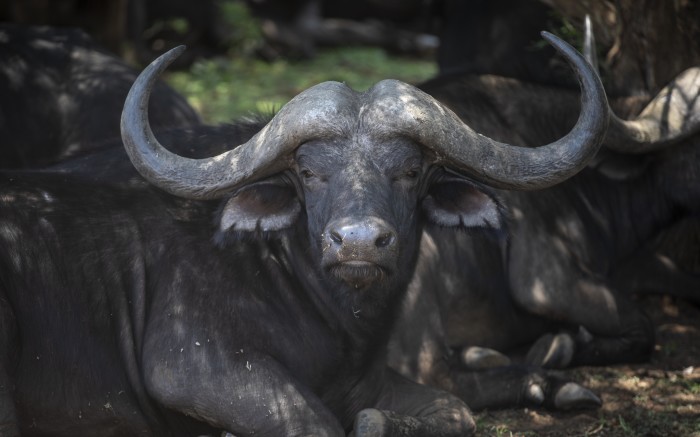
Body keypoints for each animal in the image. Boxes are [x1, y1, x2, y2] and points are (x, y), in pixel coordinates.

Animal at [388, 51, 700, 408]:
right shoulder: (545, 283)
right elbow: (644, 327)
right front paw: (563, 347)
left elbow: (675, 272)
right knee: (442, 380)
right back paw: (554, 387)